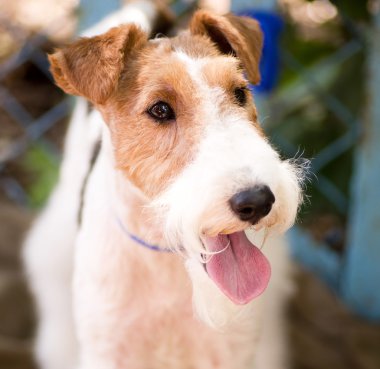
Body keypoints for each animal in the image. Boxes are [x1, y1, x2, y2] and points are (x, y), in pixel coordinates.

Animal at [23, 2, 304, 368]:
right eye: (159, 109)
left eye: (240, 92)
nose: (256, 200)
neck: (164, 256)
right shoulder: (108, 349)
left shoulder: (232, 351)